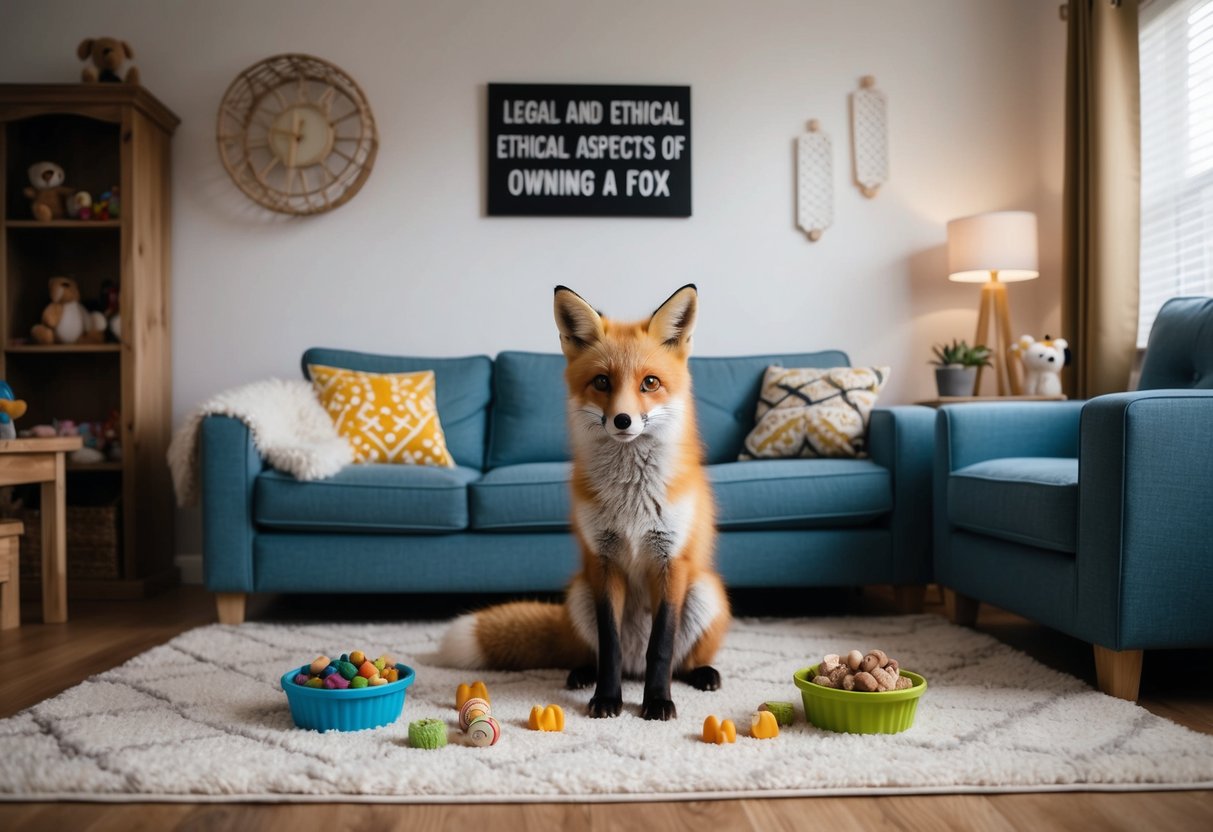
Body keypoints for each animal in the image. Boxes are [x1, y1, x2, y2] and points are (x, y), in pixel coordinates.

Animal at [440, 284, 731, 720]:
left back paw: (703, 674)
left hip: (703, 590)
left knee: (680, 660)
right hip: (580, 593)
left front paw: (657, 701)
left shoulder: (670, 561)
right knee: (595, 654)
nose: (623, 420)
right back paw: (582, 675)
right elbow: (609, 646)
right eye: (602, 381)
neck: (632, 500)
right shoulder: (603, 560)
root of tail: (633, 670)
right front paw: (607, 699)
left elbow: (661, 649)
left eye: (650, 382)